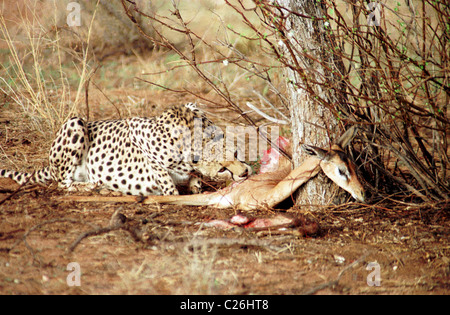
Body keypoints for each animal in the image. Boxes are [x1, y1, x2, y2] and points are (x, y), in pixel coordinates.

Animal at [0, 103, 251, 196]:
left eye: (236, 155)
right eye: (222, 169)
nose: (245, 173)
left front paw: (195, 183)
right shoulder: (140, 132)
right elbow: (170, 185)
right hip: (75, 122)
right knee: (63, 183)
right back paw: (95, 186)